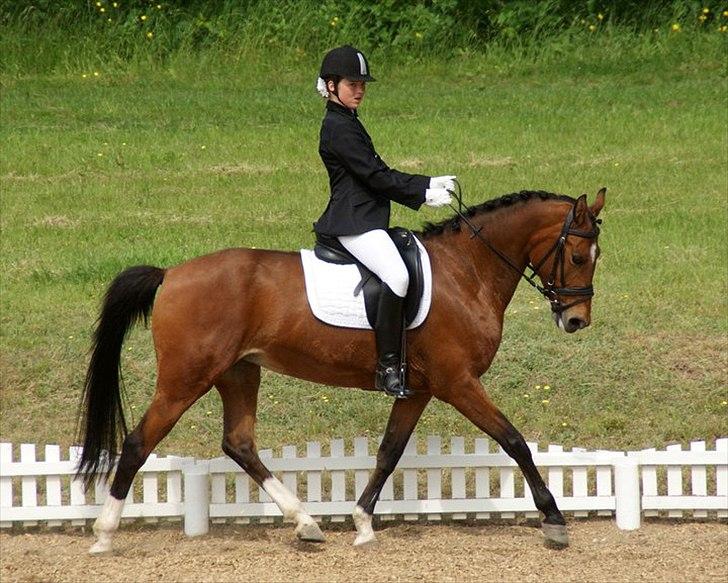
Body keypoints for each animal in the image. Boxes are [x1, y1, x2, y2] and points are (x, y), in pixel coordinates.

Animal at [76, 187, 606, 554]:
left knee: (239, 443)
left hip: (240, 372)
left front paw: (363, 522)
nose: (576, 321)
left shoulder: (418, 390)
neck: (465, 271)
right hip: (185, 379)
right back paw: (103, 534)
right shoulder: (458, 383)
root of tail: (171, 274)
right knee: (139, 442)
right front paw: (554, 521)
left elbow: (389, 451)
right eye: (579, 256)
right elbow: (514, 441)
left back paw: (306, 523)